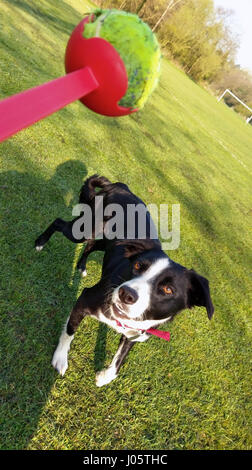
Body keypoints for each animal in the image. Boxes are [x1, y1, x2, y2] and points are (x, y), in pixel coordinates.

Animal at [34, 174, 214, 388]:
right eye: (137, 266)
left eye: (168, 289)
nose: (125, 293)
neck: (124, 319)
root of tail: (120, 186)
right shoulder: (84, 300)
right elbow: (69, 331)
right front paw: (61, 358)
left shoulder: (136, 335)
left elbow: (119, 362)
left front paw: (104, 376)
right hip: (83, 229)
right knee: (60, 223)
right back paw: (40, 243)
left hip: (105, 240)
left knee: (92, 245)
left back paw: (82, 266)